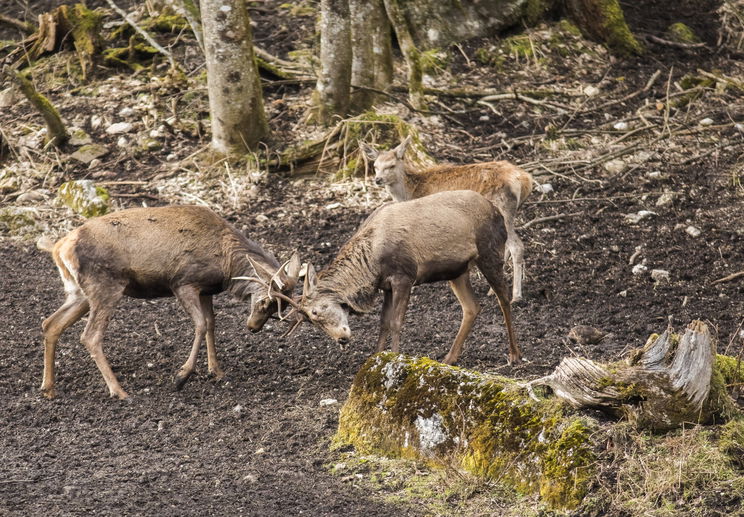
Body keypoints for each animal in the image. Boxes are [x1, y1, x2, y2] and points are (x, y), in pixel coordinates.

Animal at [37, 205, 300, 400]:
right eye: (266, 301)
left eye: (280, 307)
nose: (253, 327)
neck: (227, 264)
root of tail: (59, 248)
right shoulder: (183, 282)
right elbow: (200, 324)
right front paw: (181, 376)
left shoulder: (205, 290)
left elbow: (211, 324)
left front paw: (216, 371)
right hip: (106, 286)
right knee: (90, 336)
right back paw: (120, 391)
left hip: (78, 292)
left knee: (50, 323)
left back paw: (48, 388)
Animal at [294, 190, 520, 366]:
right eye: (312, 322)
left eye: (315, 312)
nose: (341, 339)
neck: (371, 263)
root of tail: (497, 212)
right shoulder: (386, 285)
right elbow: (383, 322)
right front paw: (375, 357)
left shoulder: (404, 276)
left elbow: (396, 322)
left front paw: (394, 357)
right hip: (457, 271)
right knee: (472, 306)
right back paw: (449, 358)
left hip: (490, 252)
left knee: (503, 297)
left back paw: (514, 354)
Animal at [362, 135, 532, 302]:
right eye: (375, 166)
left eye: (391, 165)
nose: (377, 179)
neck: (410, 192)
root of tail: (525, 180)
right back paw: (493, 290)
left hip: (503, 208)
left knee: (516, 246)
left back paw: (516, 296)